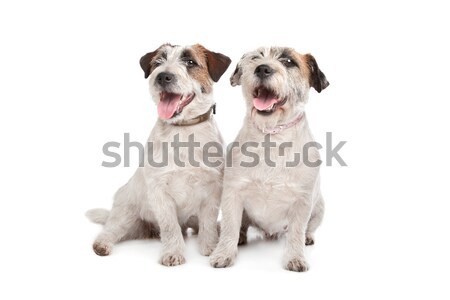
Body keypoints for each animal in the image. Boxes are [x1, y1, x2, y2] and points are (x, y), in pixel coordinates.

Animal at [86, 43, 230, 266]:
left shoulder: (213, 190)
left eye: (190, 62)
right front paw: (173, 252)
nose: (163, 76)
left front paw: (210, 246)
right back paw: (102, 244)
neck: (183, 131)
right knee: (110, 229)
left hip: (191, 217)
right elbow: (170, 227)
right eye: (157, 62)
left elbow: (208, 221)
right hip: (125, 215)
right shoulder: (160, 192)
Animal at [209, 45, 328, 272]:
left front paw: (295, 257)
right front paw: (224, 253)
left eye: (289, 61)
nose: (263, 69)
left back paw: (308, 237)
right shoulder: (232, 194)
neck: (272, 137)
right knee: (241, 226)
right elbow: (230, 226)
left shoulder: (302, 201)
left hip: (319, 208)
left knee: (307, 229)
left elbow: (296, 232)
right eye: (255, 58)